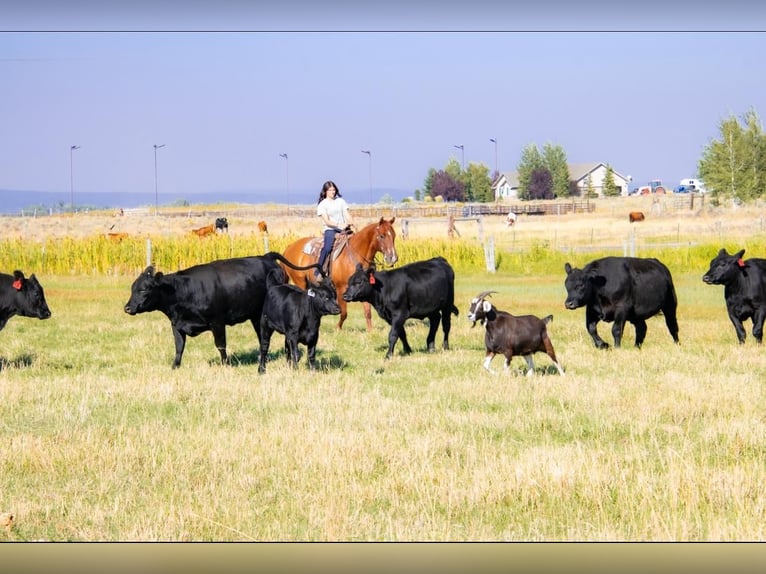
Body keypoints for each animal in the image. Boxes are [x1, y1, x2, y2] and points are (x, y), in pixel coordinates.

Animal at [125, 252, 320, 368]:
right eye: (133, 288)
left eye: (144, 289)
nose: (127, 308)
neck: (183, 291)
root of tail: (266, 256)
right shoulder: (176, 325)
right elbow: (179, 347)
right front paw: (175, 366)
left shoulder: (217, 322)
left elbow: (221, 345)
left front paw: (225, 365)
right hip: (256, 316)